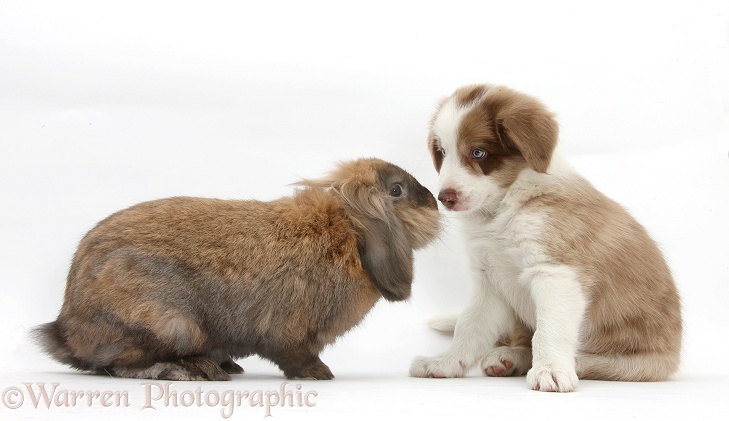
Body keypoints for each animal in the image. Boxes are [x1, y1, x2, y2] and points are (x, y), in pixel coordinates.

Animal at [35, 158, 438, 380]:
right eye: (397, 191)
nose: (435, 201)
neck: (348, 233)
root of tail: (66, 328)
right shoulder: (288, 332)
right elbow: (294, 355)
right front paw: (320, 374)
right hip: (172, 324)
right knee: (117, 365)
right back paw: (195, 371)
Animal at [410, 84, 684, 390]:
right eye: (443, 152)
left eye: (478, 152)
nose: (444, 198)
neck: (503, 208)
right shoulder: (489, 279)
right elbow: (469, 325)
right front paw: (446, 362)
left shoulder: (555, 273)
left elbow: (548, 330)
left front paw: (551, 369)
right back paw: (509, 358)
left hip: (644, 362)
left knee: (601, 363)